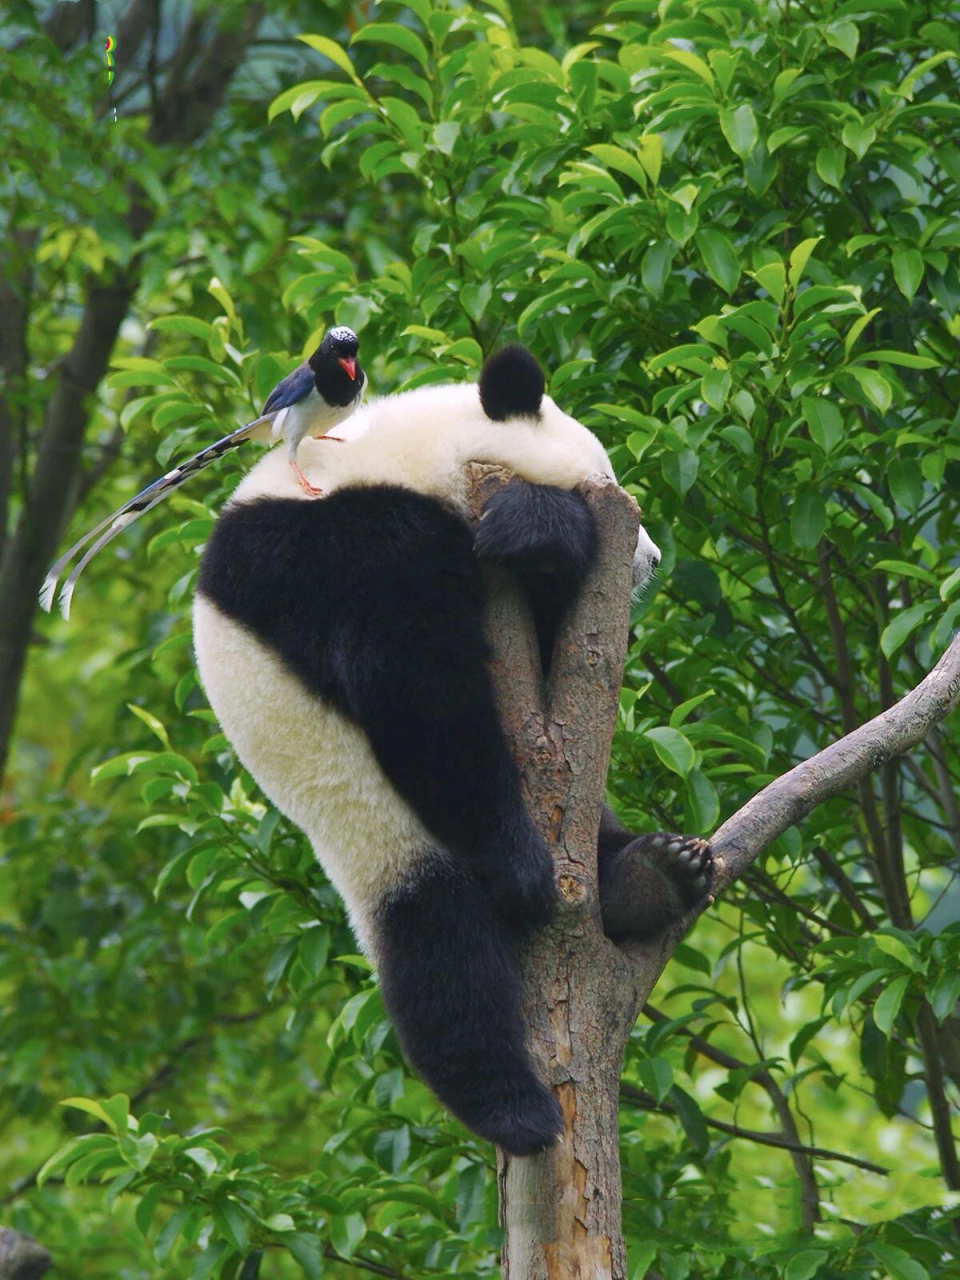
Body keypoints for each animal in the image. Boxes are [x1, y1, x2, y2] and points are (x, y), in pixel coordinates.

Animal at [193, 345, 716, 1157]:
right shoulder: (338, 546)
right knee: (440, 951)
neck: (395, 453)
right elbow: (419, 692)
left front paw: (539, 537)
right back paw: (514, 1109)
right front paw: (523, 870)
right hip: (374, 826)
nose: (653, 560)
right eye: (605, 479)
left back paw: (652, 874)